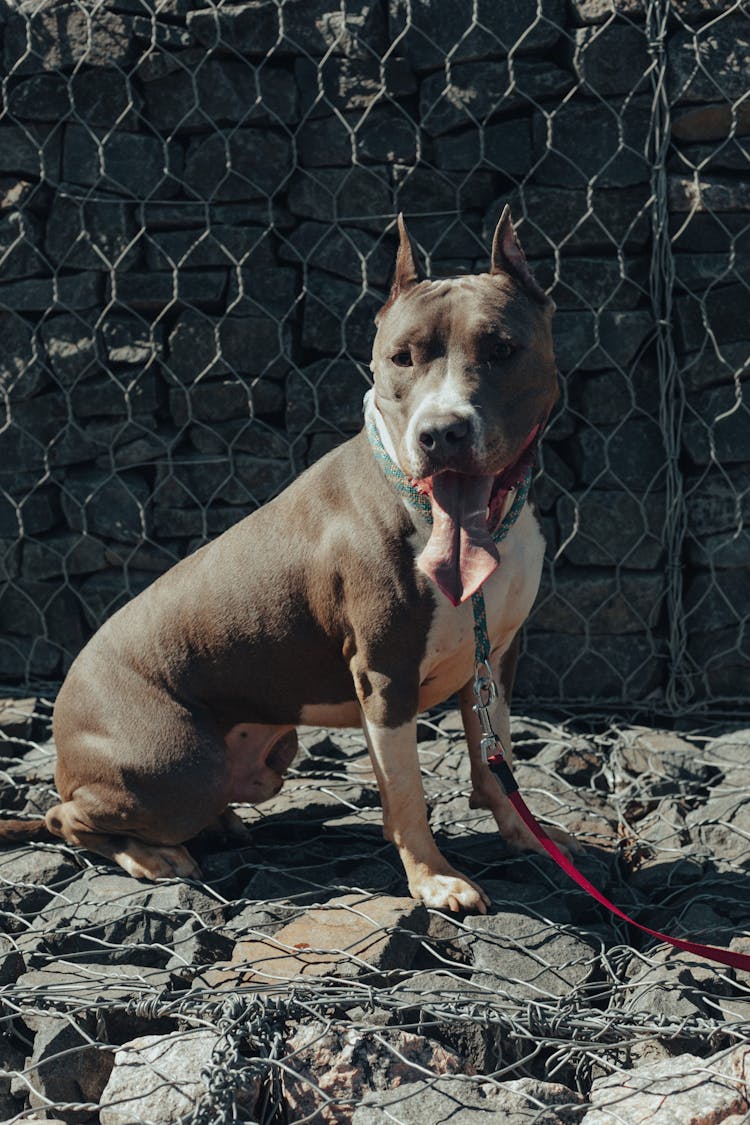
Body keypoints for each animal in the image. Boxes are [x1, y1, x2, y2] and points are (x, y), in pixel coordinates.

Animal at [8, 209, 575, 913]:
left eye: (501, 350)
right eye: (401, 358)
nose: (440, 432)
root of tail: (62, 713)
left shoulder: (493, 659)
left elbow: (498, 767)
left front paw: (529, 839)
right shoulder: (385, 678)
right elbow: (407, 793)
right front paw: (433, 878)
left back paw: (220, 826)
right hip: (178, 764)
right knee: (68, 816)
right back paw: (154, 855)